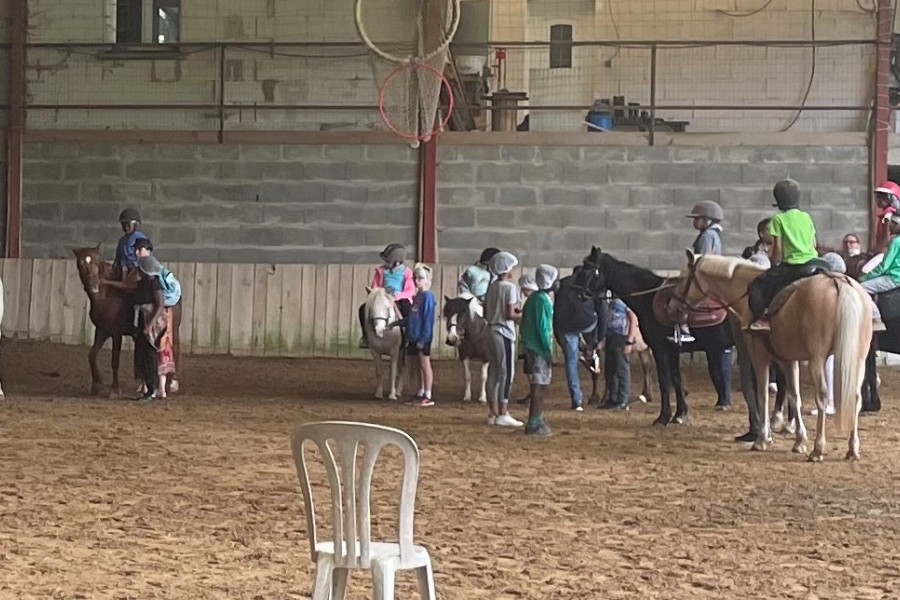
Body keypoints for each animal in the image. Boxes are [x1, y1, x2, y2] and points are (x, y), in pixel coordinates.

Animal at [74, 246, 183, 396]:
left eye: (96, 261)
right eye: (80, 263)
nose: (93, 284)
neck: (106, 295)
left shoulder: (116, 334)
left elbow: (115, 360)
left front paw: (114, 389)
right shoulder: (102, 331)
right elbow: (92, 355)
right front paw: (96, 384)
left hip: (173, 329)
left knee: (175, 350)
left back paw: (170, 384)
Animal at [580, 247, 736, 426]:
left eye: (587, 270)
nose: (575, 292)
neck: (648, 298)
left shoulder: (660, 349)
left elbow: (664, 382)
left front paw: (663, 417)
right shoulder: (673, 350)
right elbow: (676, 379)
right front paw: (679, 415)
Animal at [676, 251, 872, 462]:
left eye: (683, 278)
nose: (673, 306)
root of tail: (838, 283)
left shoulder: (759, 357)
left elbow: (762, 395)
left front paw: (762, 439)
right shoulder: (788, 359)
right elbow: (794, 396)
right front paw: (799, 441)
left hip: (817, 359)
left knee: (822, 396)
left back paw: (818, 449)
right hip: (858, 358)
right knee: (855, 397)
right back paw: (852, 449)